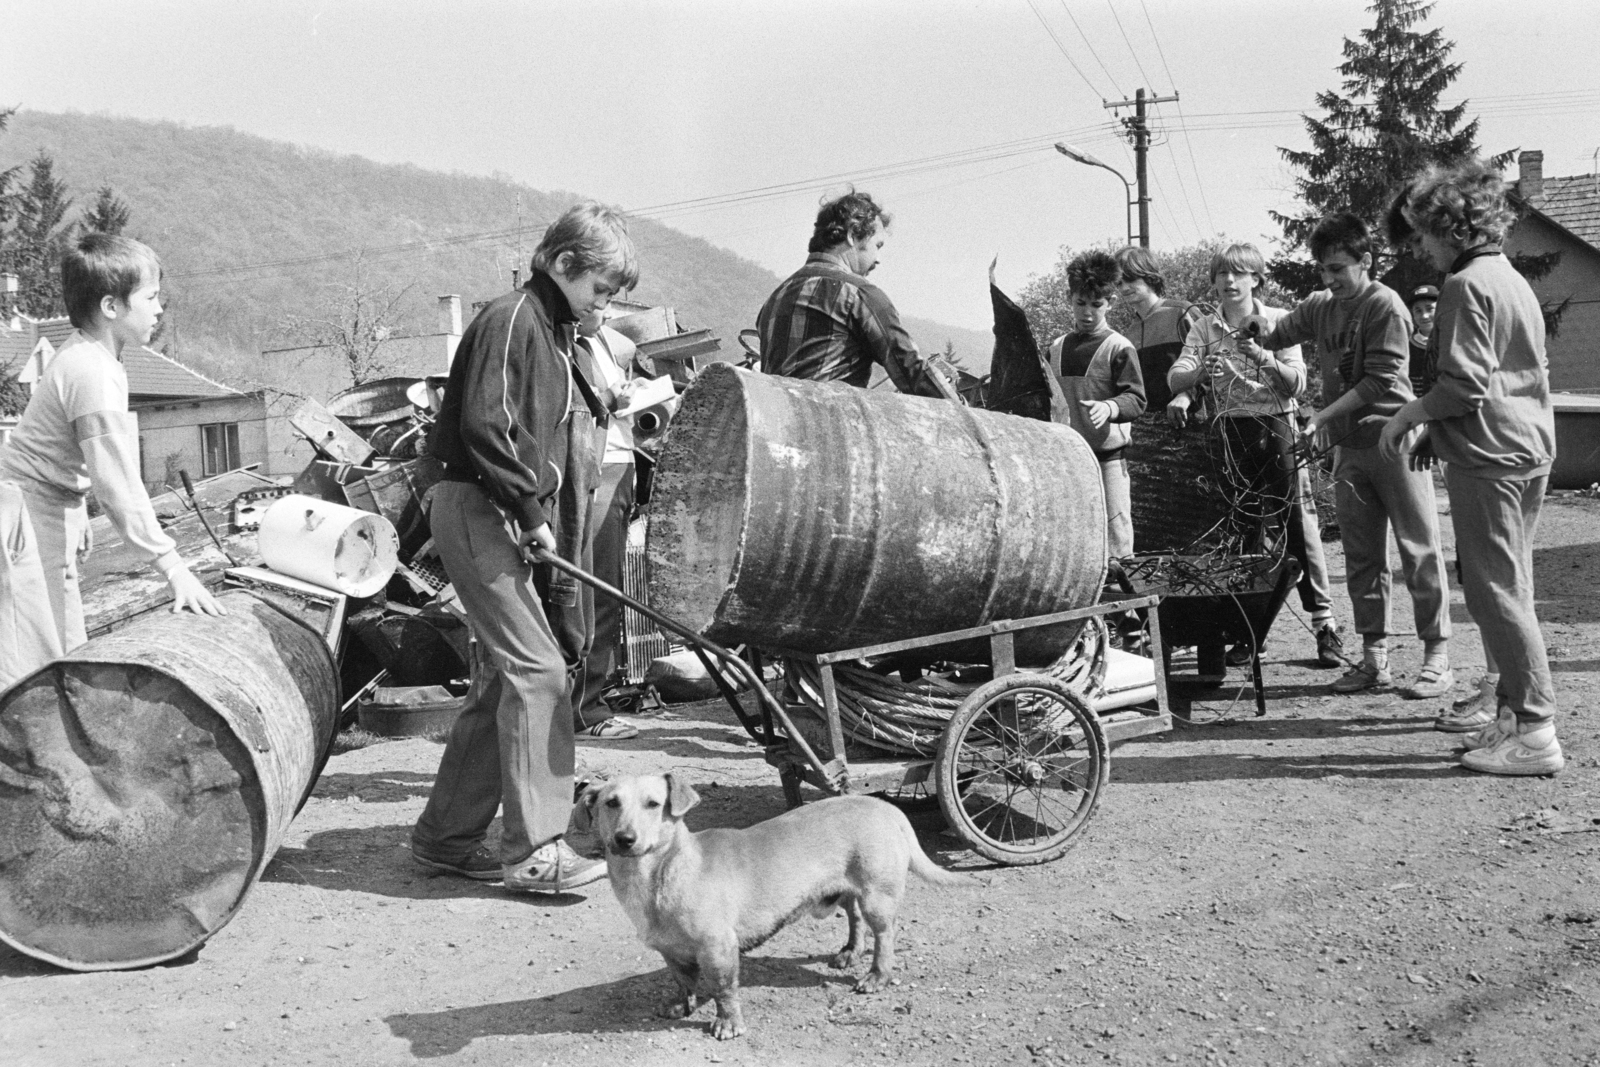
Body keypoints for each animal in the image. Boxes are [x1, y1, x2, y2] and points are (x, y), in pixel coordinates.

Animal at [576, 777, 972, 1043]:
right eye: (611, 803)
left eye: (653, 804)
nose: (624, 839)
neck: (666, 872)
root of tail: (888, 808)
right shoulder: (672, 953)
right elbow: (683, 982)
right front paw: (680, 1006)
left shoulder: (718, 949)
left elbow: (723, 990)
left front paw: (728, 1023)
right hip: (848, 891)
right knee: (855, 918)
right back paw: (849, 952)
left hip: (877, 897)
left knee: (885, 935)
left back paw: (877, 975)